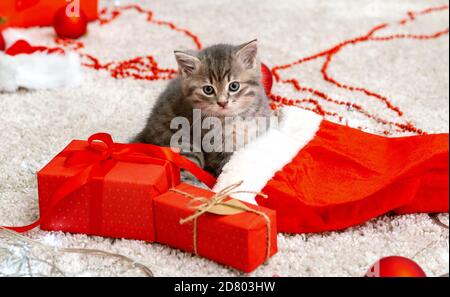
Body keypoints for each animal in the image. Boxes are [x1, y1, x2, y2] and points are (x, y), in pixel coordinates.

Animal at [132, 40, 268, 177]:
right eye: (208, 89)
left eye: (234, 86)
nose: (222, 103)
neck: (236, 117)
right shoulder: (217, 149)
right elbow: (228, 168)